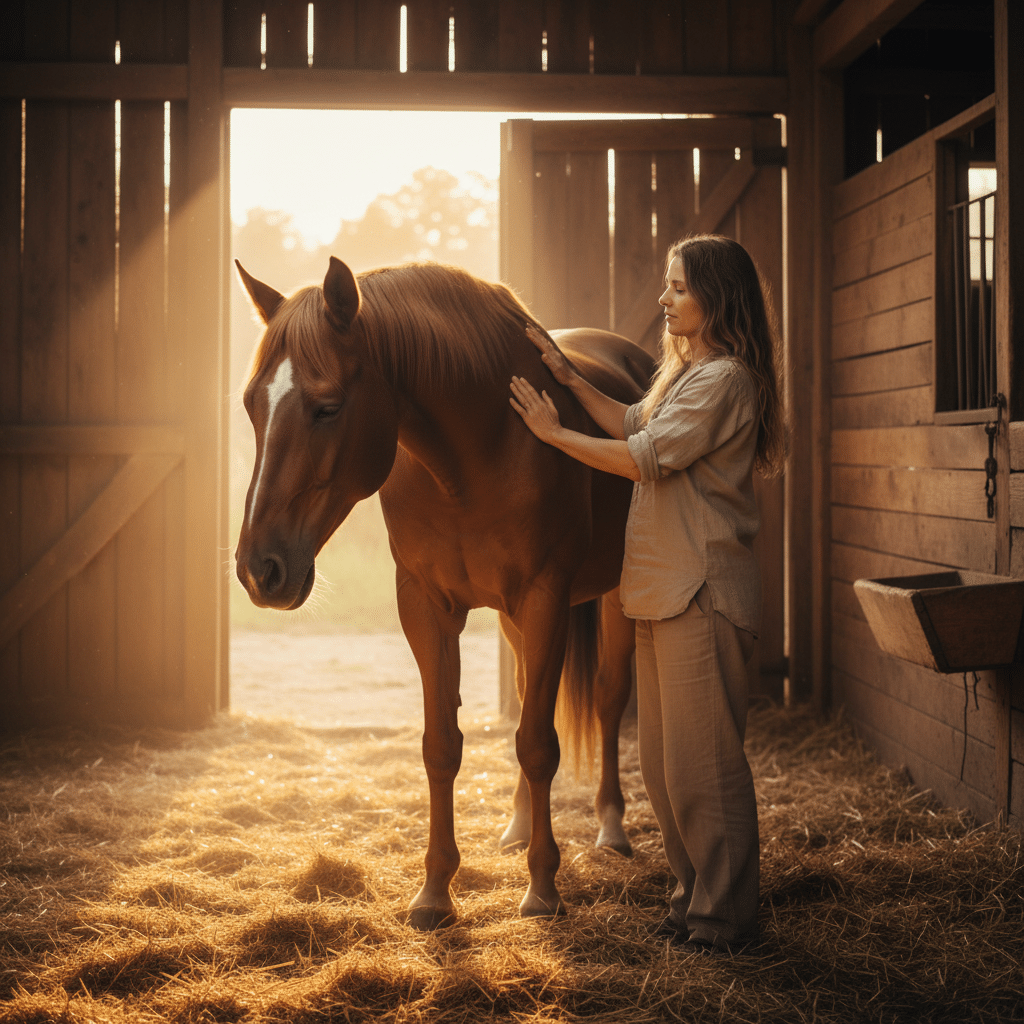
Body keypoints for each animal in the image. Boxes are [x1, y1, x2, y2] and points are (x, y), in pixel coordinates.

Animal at [234, 256, 655, 929]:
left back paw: (611, 829)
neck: (476, 452)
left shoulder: (545, 597)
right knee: (528, 696)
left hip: (610, 597)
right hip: (514, 620)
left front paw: (543, 888)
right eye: (252, 405)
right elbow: (443, 746)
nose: (258, 569)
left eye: (327, 408)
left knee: (610, 698)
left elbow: (539, 743)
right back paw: (516, 825)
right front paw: (435, 892)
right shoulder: (427, 605)